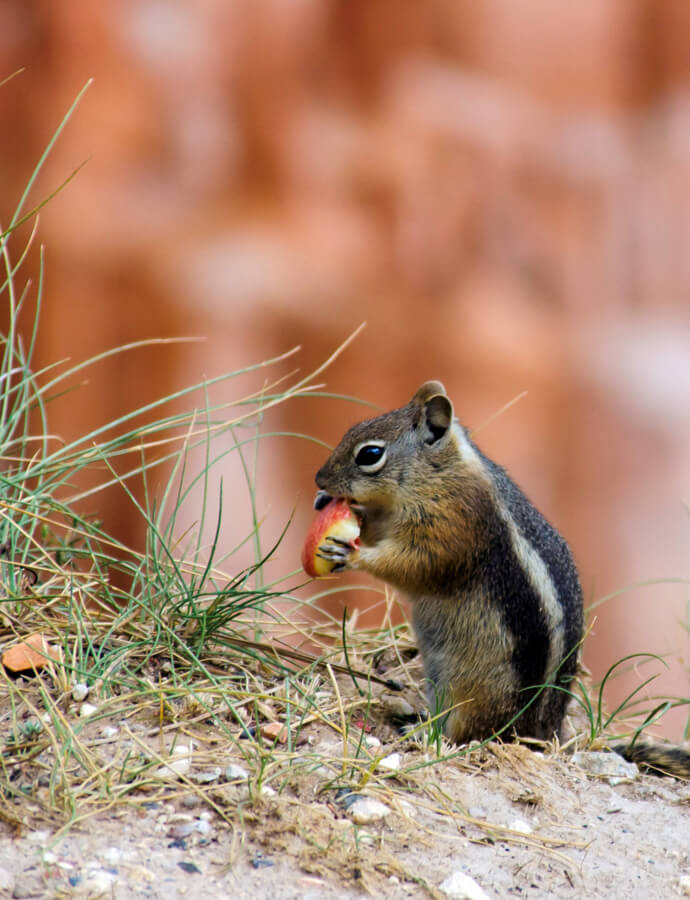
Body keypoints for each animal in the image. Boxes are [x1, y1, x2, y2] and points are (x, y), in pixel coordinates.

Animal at [312, 380, 688, 780]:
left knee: (467, 734)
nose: (319, 479)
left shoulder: (455, 522)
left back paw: (422, 733)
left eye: (370, 454)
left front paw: (351, 554)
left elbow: (416, 565)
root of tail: (544, 735)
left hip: (474, 692)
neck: (440, 470)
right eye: (352, 430)